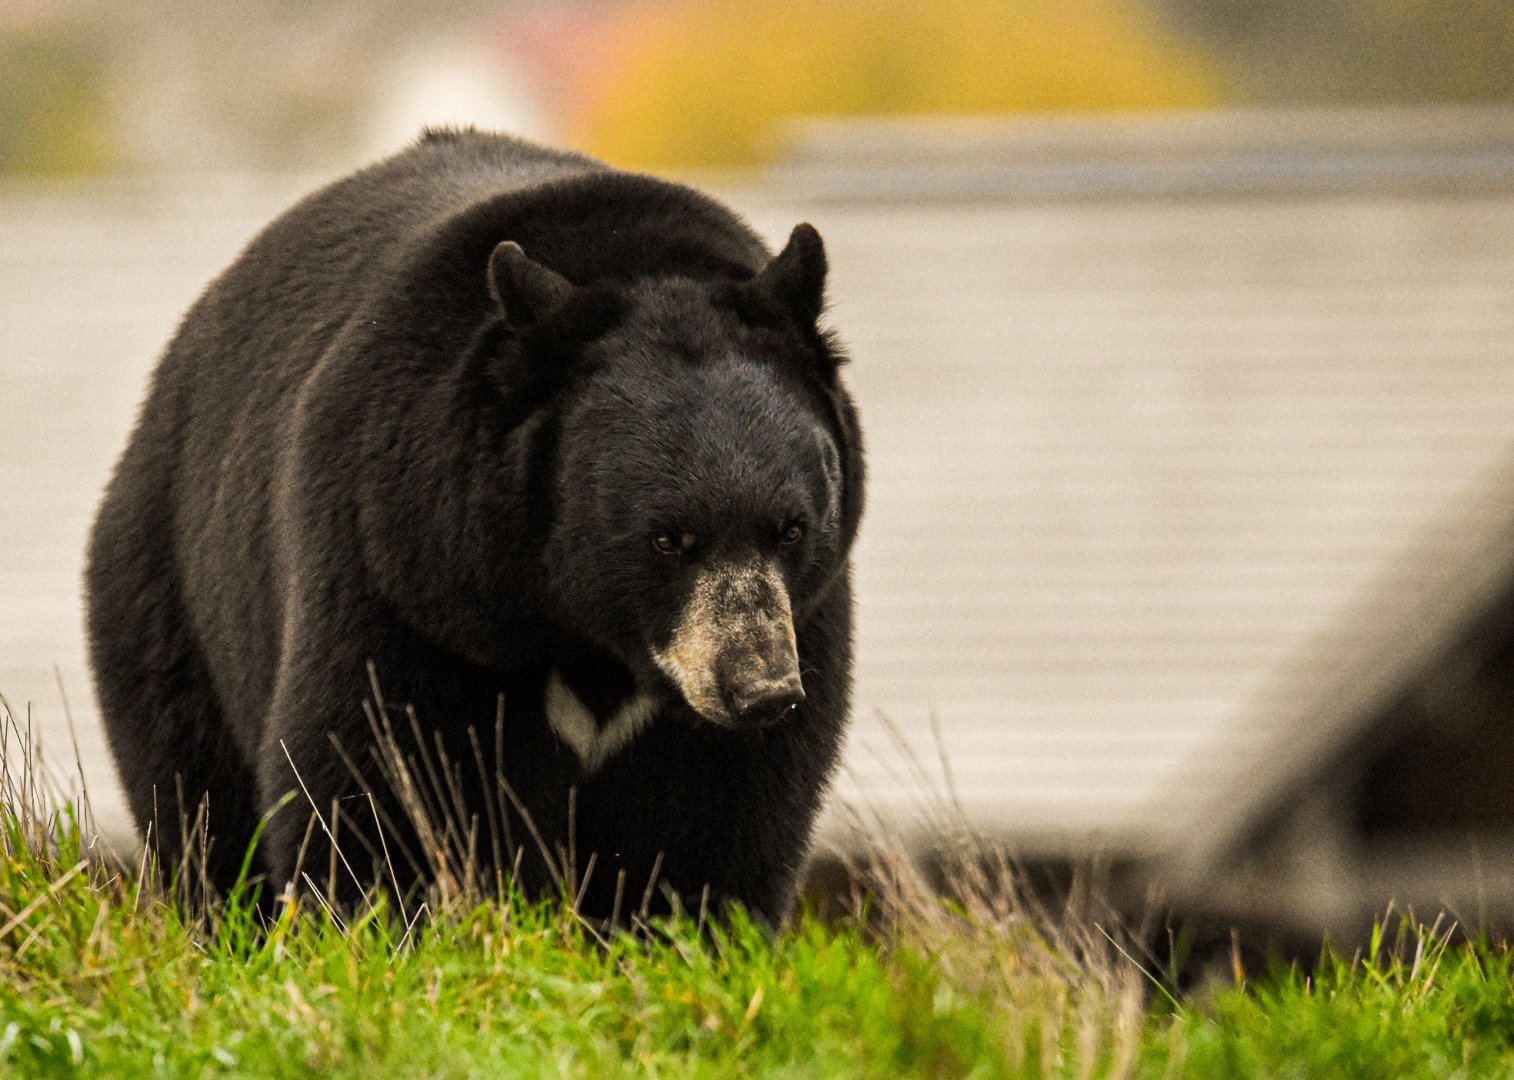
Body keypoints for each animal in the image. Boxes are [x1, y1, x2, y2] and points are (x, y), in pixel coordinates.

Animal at [85, 129, 864, 926]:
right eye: (667, 537)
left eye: (792, 529)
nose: (760, 689)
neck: (585, 635)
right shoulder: (402, 569)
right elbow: (372, 768)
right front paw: (382, 919)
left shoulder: (804, 620)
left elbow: (726, 819)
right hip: (175, 601)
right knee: (199, 805)